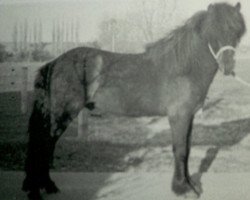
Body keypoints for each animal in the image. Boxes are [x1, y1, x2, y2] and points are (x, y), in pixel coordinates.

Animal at [22, 1, 245, 200]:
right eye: (213, 32)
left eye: (236, 32)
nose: (227, 65)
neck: (183, 68)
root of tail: (55, 63)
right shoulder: (179, 117)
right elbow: (180, 151)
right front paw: (182, 189)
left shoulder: (189, 117)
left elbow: (187, 150)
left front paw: (189, 185)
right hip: (62, 114)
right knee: (44, 143)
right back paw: (36, 190)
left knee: (47, 144)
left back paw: (47, 186)